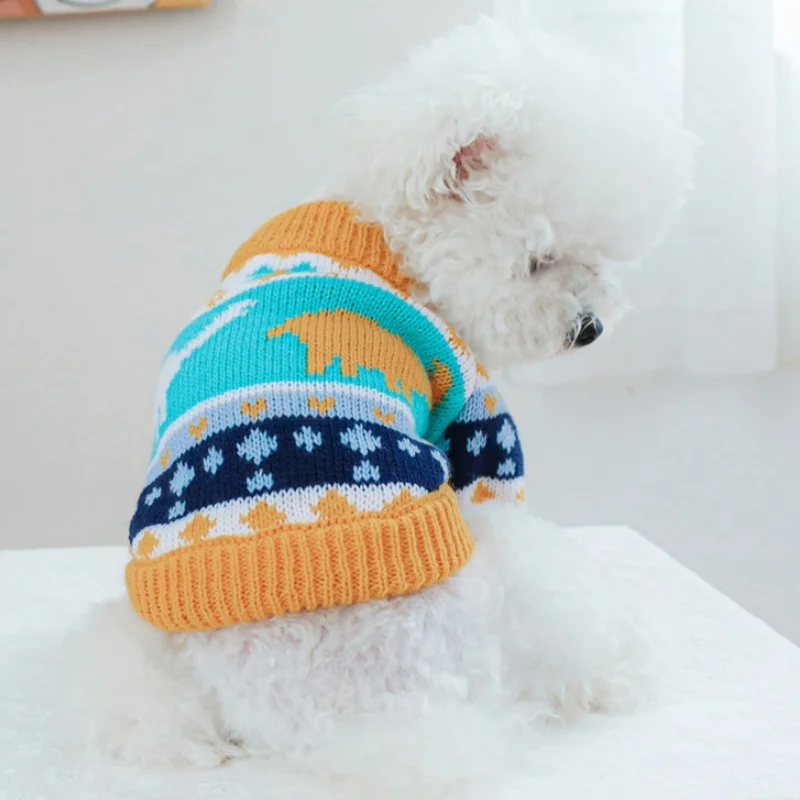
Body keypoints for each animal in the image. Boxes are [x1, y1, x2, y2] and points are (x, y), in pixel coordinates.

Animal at [66, 7, 694, 797]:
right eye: (538, 262)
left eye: (599, 259)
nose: (590, 329)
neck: (382, 229)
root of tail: (359, 721)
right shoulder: (473, 405)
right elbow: (494, 464)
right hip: (514, 582)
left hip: (156, 635)